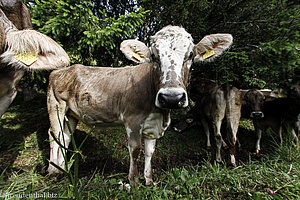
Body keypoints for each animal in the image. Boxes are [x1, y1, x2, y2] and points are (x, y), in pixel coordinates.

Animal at [47, 25, 234, 185]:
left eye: (190, 55)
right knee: (54, 135)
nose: (172, 98)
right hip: (55, 106)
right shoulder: (133, 119)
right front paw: (134, 182)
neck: (159, 112)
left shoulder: (153, 126)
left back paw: (62, 169)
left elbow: (149, 151)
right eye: (154, 56)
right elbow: (136, 149)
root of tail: (62, 70)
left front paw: (148, 180)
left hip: (71, 113)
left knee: (65, 137)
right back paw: (52, 171)